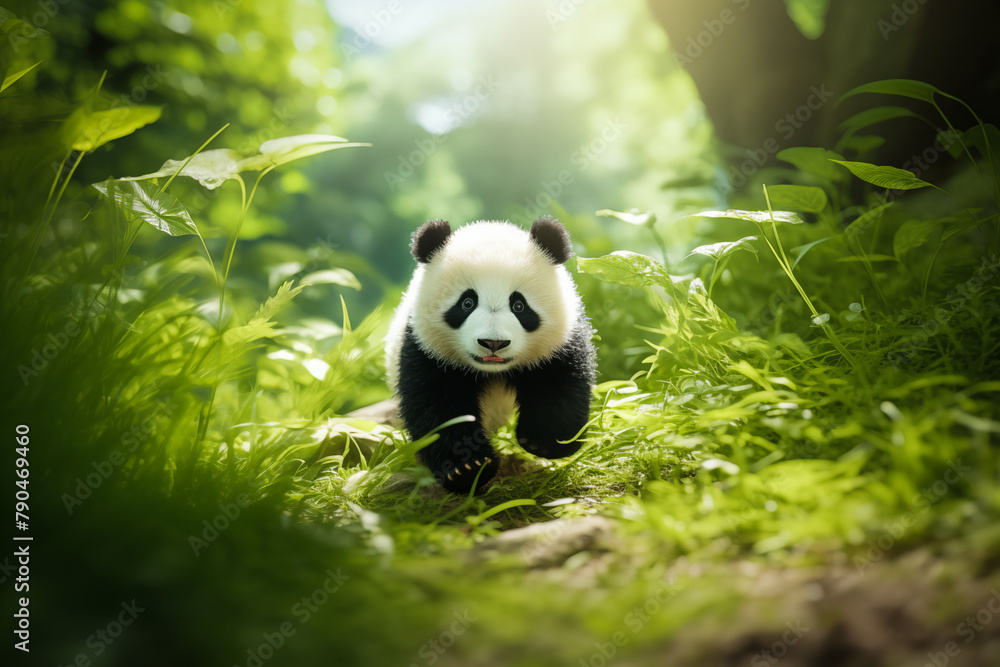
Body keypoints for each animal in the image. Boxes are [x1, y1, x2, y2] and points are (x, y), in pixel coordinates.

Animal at [385, 216, 596, 493]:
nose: (493, 343)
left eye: (519, 306)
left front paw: (545, 442)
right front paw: (467, 468)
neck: (492, 371)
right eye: (467, 303)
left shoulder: (559, 344)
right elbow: (437, 406)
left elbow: (559, 385)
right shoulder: (425, 348)